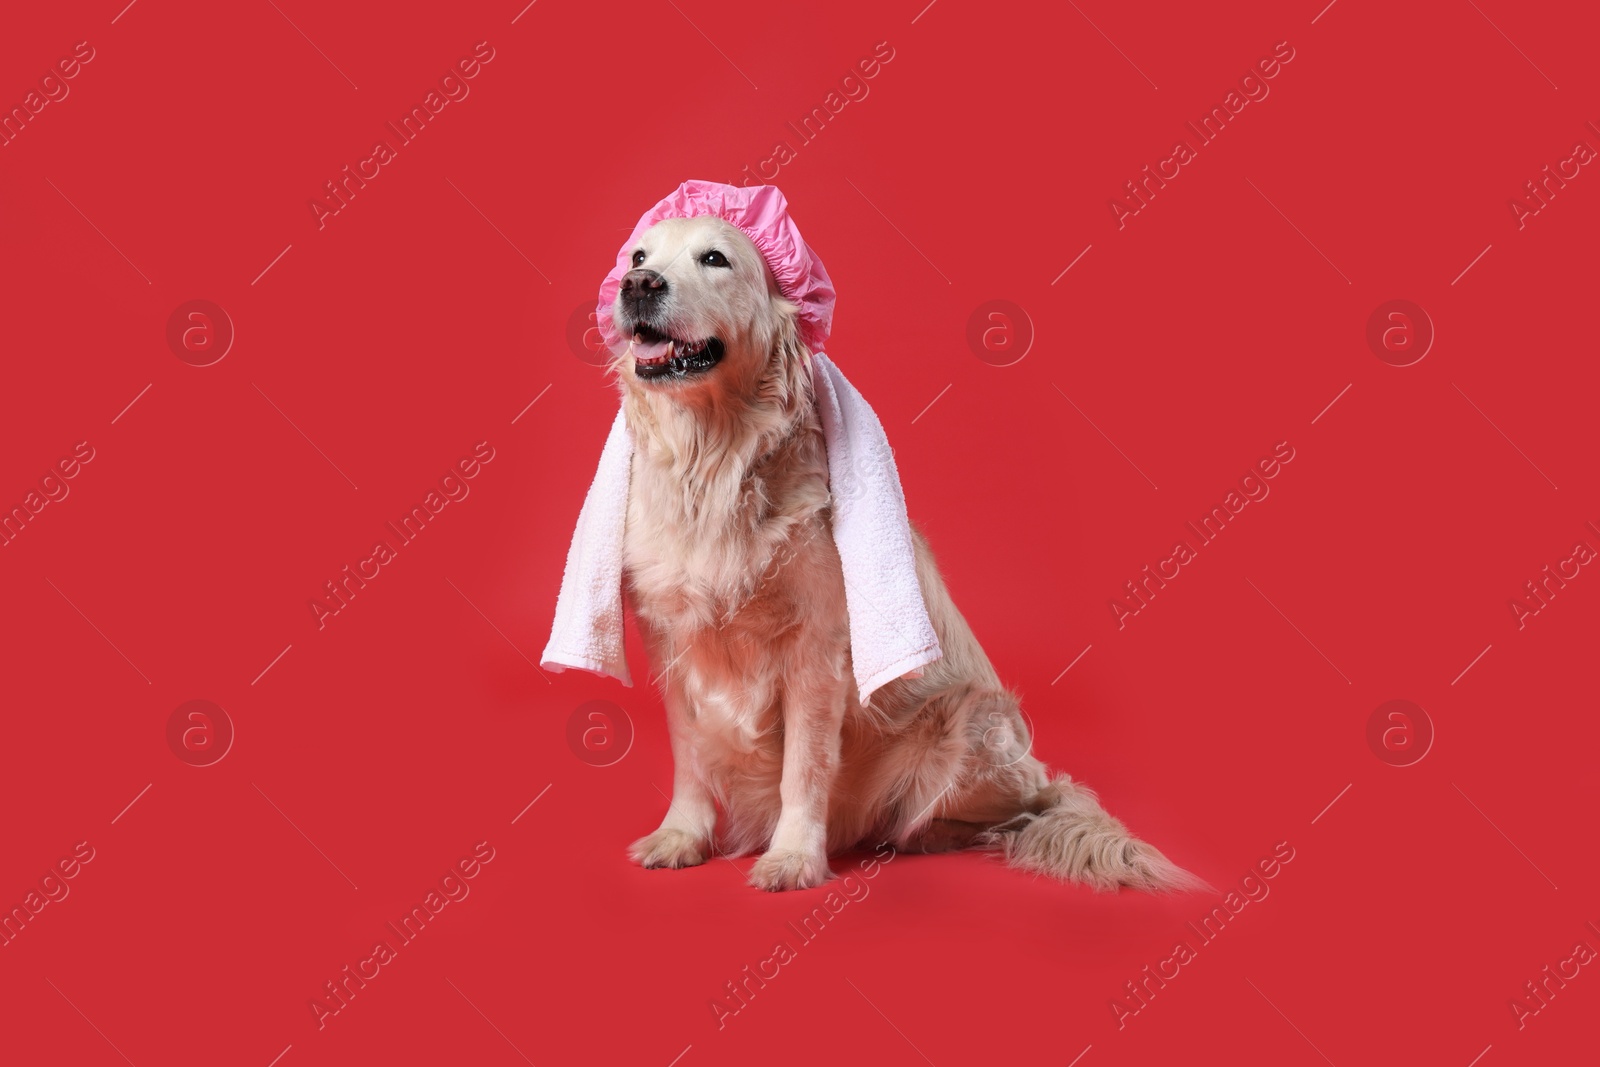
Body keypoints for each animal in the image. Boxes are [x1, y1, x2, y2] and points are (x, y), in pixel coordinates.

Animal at [611, 211, 1203, 895]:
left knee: (1026, 808)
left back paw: (930, 834)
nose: (638, 285)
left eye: (715, 258)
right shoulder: (672, 642)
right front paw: (682, 835)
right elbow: (690, 754)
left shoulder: (815, 650)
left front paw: (793, 856)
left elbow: (802, 768)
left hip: (976, 723)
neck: (712, 465)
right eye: (639, 256)